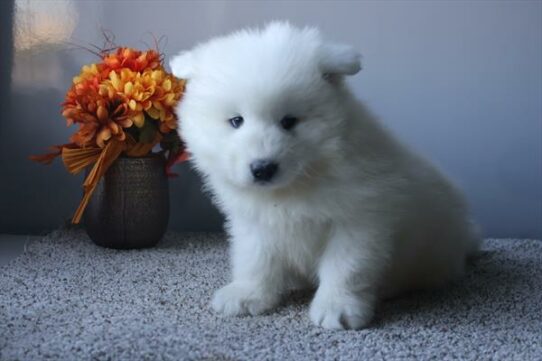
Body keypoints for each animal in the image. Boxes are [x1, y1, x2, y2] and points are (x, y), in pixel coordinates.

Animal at [171, 22, 480, 330]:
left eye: (289, 121)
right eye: (236, 121)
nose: (263, 168)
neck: (296, 184)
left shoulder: (360, 221)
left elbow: (346, 268)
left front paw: (338, 308)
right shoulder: (254, 222)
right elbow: (255, 259)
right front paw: (248, 294)